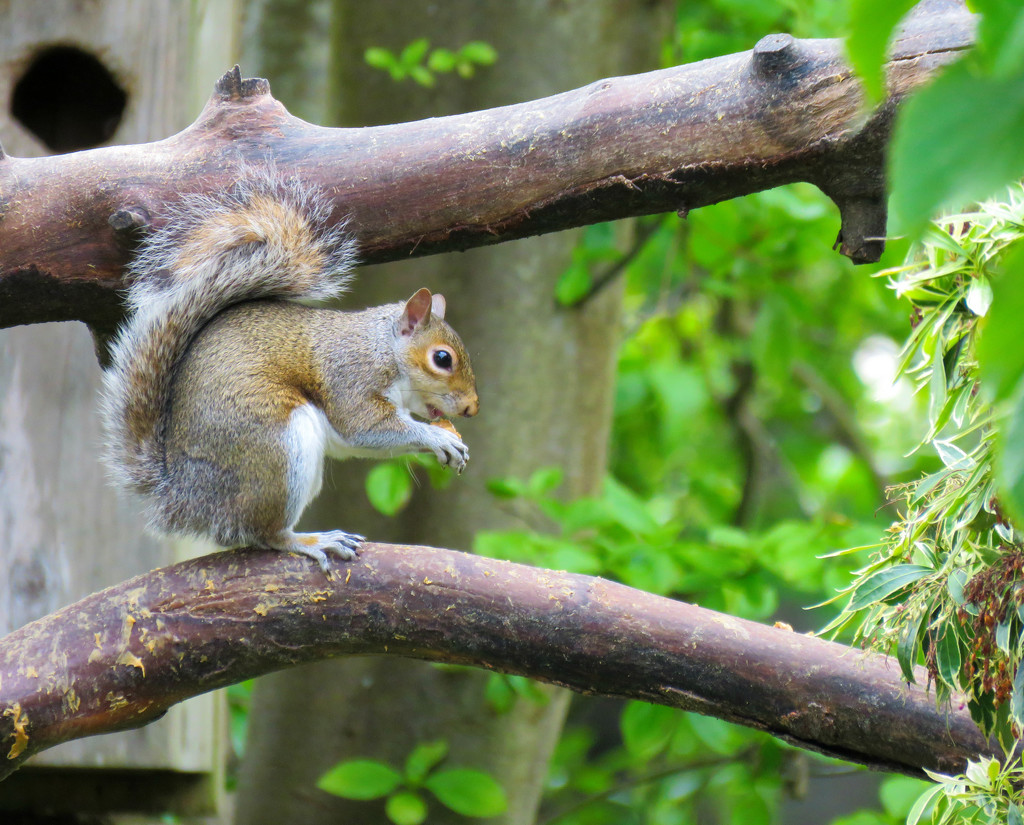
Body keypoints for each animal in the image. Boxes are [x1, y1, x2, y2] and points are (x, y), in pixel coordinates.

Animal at [99, 174, 479, 573]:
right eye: (442, 358)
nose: (472, 408)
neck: (382, 348)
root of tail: (183, 497)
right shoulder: (351, 378)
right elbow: (365, 428)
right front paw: (439, 438)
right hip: (276, 450)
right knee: (263, 533)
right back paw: (310, 540)